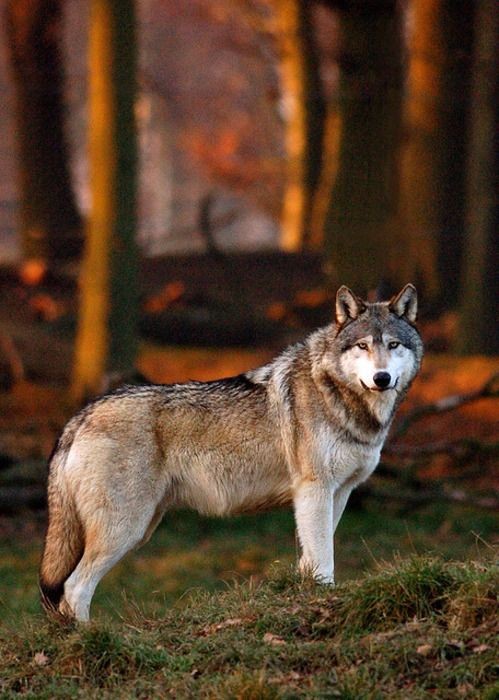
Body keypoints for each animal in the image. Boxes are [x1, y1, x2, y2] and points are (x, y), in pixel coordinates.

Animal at [39, 284, 423, 621]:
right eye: (362, 346)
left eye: (393, 345)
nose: (382, 378)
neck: (336, 392)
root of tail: (81, 416)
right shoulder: (314, 490)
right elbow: (323, 558)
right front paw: (322, 599)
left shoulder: (338, 493)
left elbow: (313, 555)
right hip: (124, 530)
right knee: (74, 588)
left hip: (140, 528)